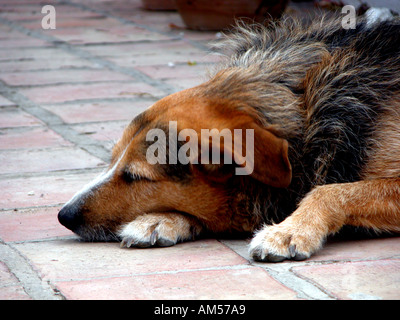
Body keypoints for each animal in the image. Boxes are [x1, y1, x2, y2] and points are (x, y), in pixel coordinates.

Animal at [58, 14, 400, 262]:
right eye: (112, 161)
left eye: (135, 177)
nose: (63, 215)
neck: (307, 110)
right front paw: (160, 220)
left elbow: (330, 191)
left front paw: (289, 231)